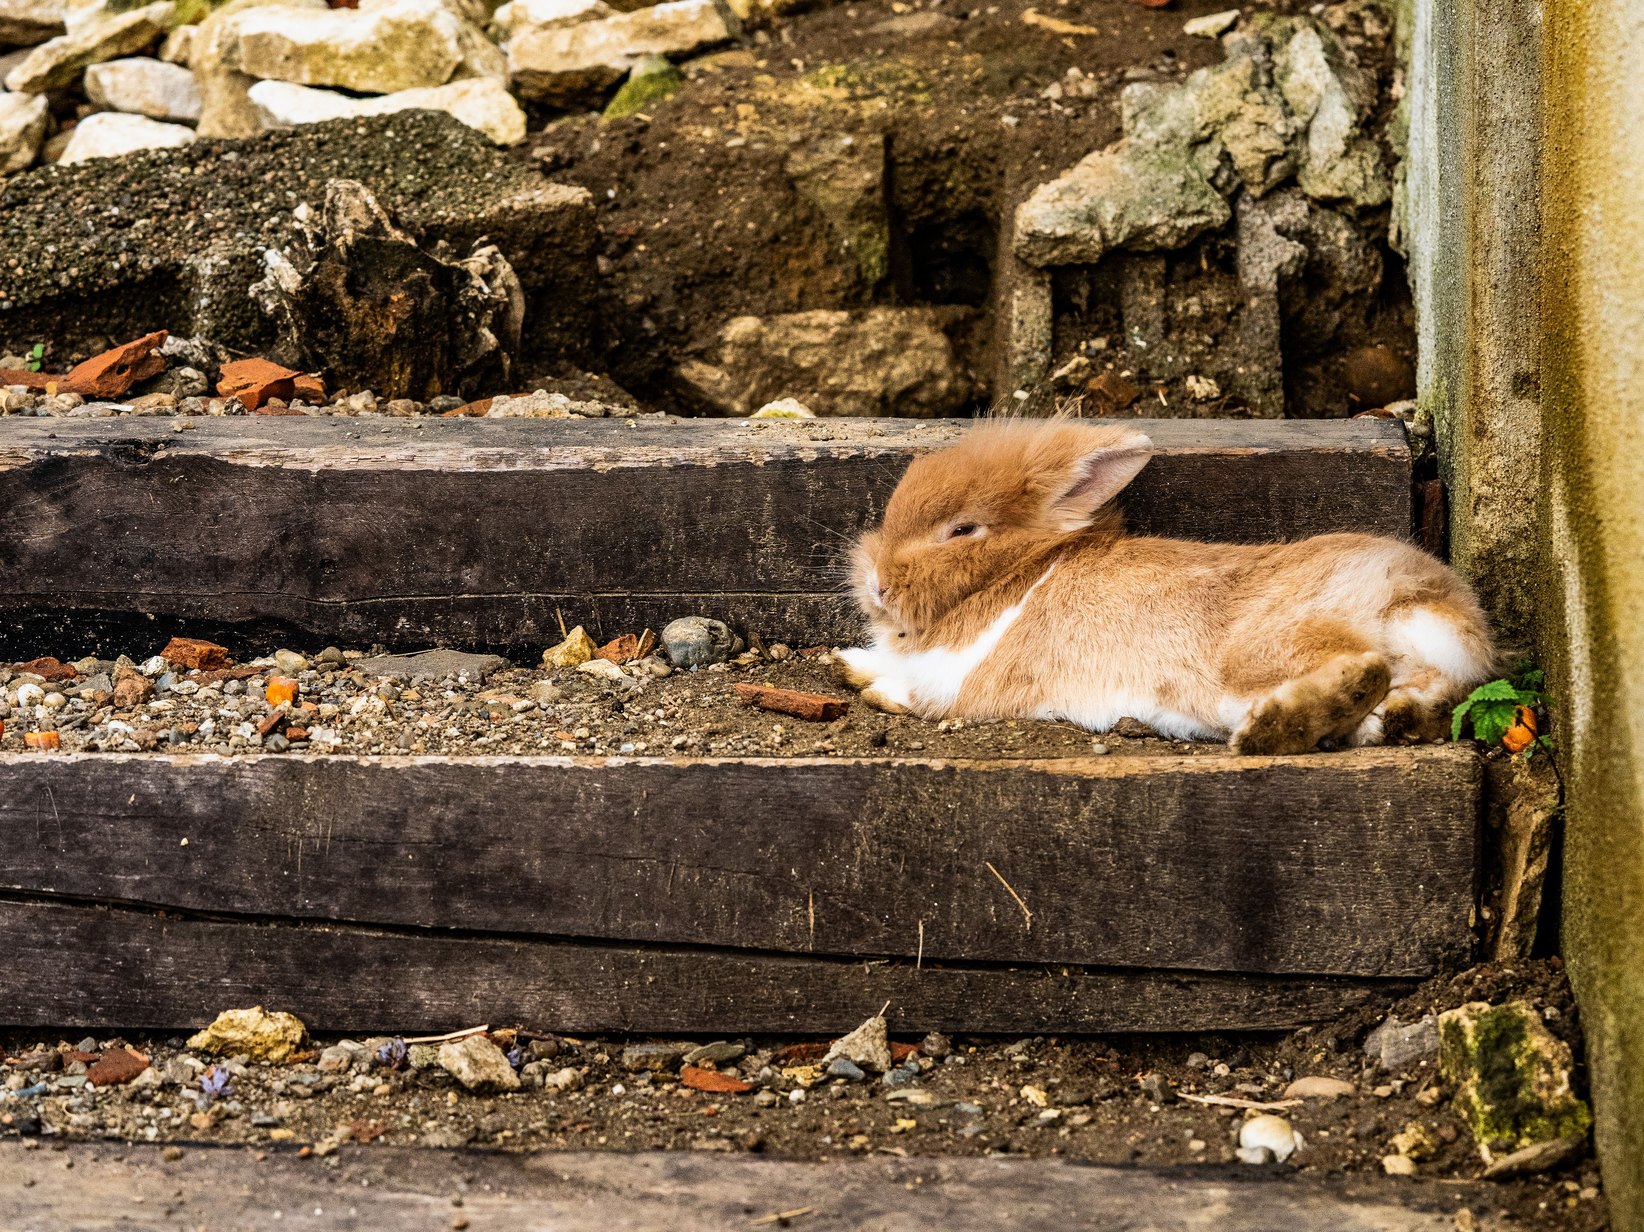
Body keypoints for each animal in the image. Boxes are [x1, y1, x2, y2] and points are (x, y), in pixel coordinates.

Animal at [836, 418, 1494, 754]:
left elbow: (916, 691)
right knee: (1428, 702)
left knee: (1363, 668)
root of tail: (1419, 595)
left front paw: (873, 686)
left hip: (1265, 650)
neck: (1024, 569)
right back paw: (1391, 722)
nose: (877, 584)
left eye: (962, 530)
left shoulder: (962, 675)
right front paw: (846, 661)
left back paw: (1271, 730)